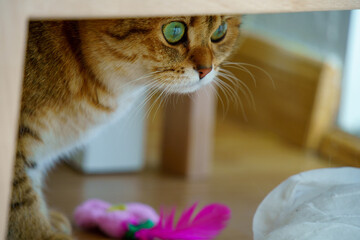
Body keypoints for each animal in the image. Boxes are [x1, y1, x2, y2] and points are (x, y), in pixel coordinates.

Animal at [9, 15, 242, 239]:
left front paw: (47, 221)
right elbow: (20, 196)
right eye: (174, 31)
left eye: (220, 31)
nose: (206, 70)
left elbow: (30, 181)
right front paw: (41, 233)